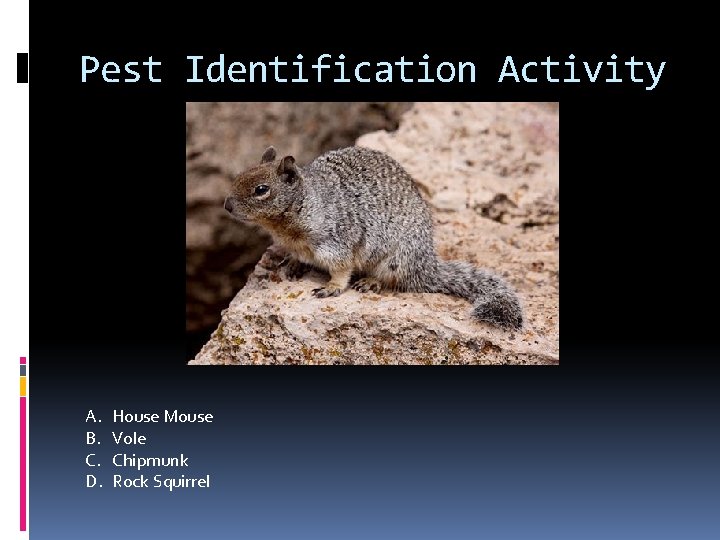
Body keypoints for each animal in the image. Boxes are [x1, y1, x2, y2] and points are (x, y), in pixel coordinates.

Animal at [224, 146, 524, 329]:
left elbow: (342, 269)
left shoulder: (338, 242)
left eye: (261, 190)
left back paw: (371, 282)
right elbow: (296, 257)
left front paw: (332, 287)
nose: (226, 205)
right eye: (238, 177)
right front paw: (292, 264)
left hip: (395, 259)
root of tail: (426, 266)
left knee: (393, 282)